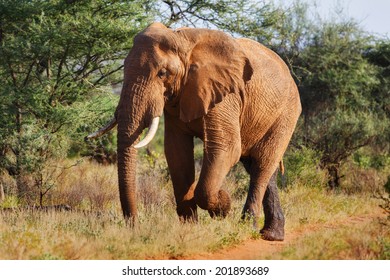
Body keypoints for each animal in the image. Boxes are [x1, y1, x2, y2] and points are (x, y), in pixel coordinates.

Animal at [87, 22, 302, 241]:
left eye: (162, 73)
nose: (134, 227)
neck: (183, 42)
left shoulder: (226, 95)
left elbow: (226, 148)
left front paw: (223, 206)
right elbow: (176, 152)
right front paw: (190, 228)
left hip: (286, 114)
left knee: (262, 165)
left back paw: (248, 228)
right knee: (259, 167)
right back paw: (272, 234)